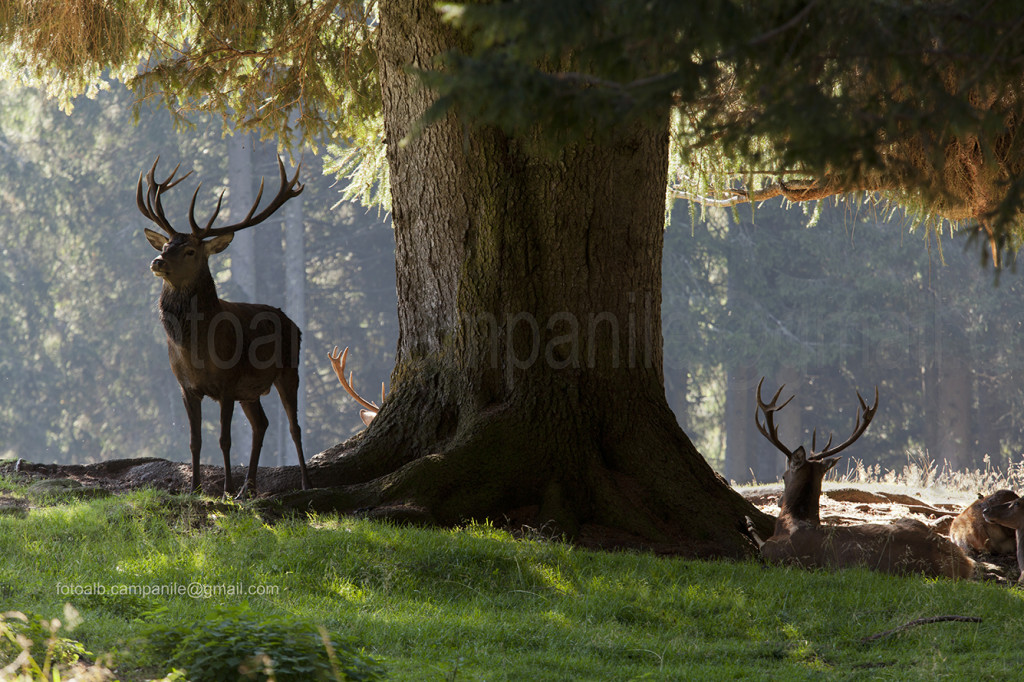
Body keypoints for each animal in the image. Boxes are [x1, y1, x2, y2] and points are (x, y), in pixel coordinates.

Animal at [139, 155, 311, 491]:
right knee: (262, 424)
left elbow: (225, 440)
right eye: (165, 246)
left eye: (190, 250)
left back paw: (304, 483)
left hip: (289, 369)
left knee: (294, 427)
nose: (157, 261)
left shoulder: (228, 384)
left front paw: (226, 490)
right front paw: (194, 488)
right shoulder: (186, 387)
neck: (195, 350)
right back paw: (249, 487)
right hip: (251, 391)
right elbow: (195, 441)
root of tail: (293, 323)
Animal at [745, 378, 974, 577]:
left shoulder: (773, 552)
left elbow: (758, 542)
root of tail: (964, 562)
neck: (793, 522)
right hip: (911, 521)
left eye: (784, 476)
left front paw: (748, 521)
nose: (778, 500)